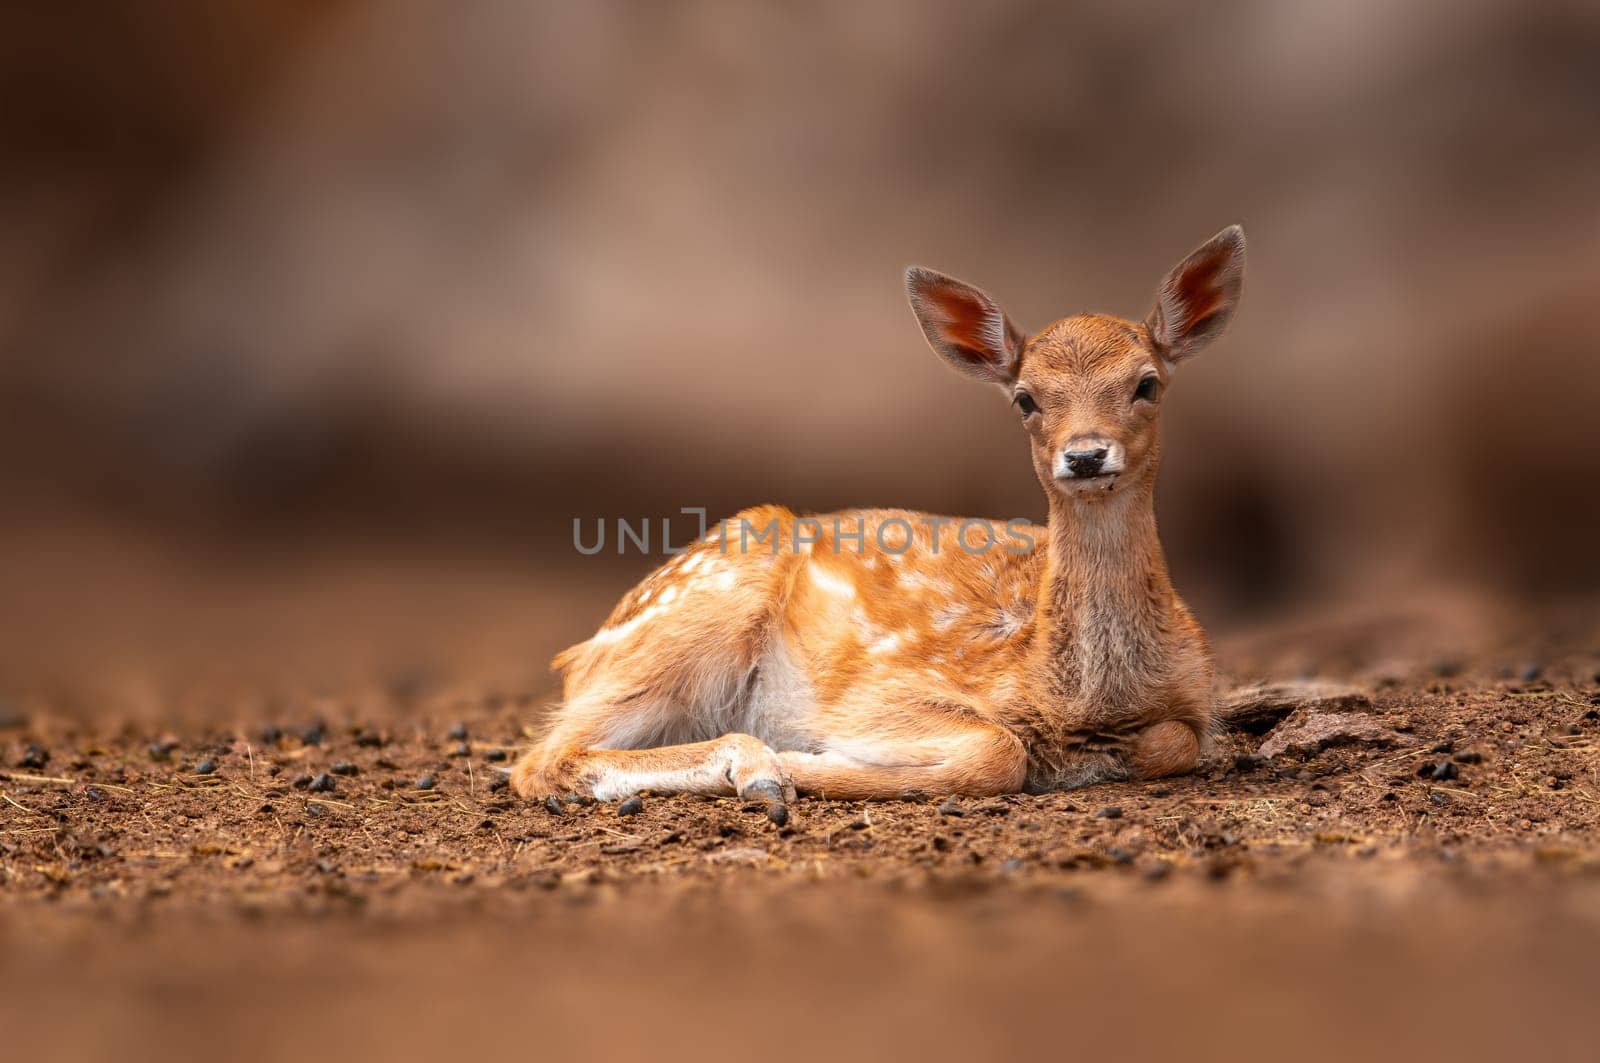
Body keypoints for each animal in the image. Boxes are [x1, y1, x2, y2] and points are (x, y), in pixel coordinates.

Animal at [518, 224, 1241, 819]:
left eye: (1147, 384)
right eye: (1025, 398)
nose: (1086, 455)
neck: (1068, 693)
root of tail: (579, 654)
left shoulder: (1196, 696)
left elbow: (1175, 741)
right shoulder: (877, 693)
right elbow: (997, 749)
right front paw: (805, 762)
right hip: (693, 618)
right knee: (542, 758)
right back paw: (759, 769)